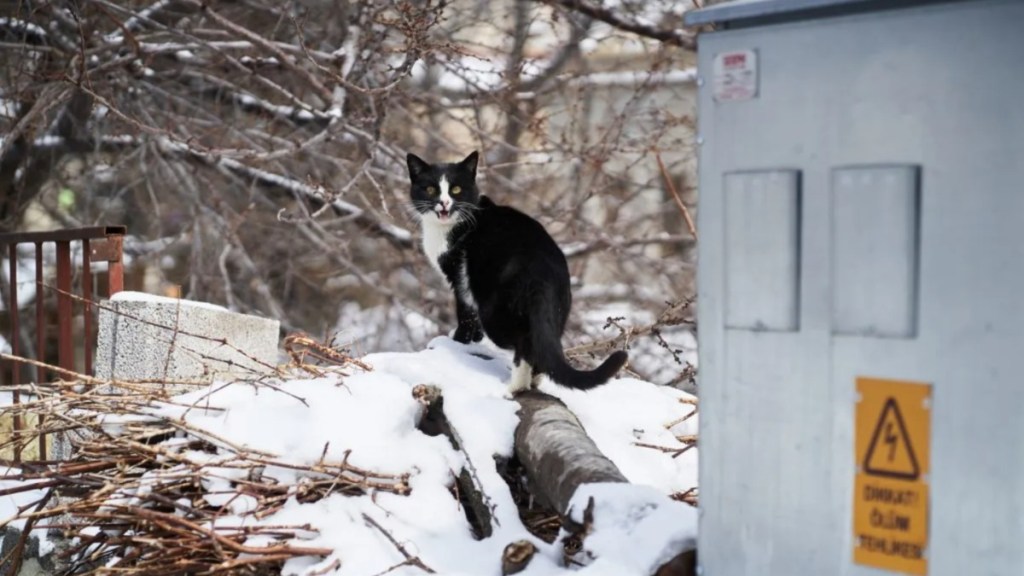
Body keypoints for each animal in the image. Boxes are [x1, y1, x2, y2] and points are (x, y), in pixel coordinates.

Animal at [403, 150, 626, 391]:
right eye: (430, 189)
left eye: (456, 189)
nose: (444, 203)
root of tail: (544, 268)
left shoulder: (460, 279)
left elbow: (466, 315)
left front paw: (458, 342)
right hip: (559, 309)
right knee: (543, 342)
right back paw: (533, 381)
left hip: (496, 310)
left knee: (523, 342)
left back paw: (515, 388)